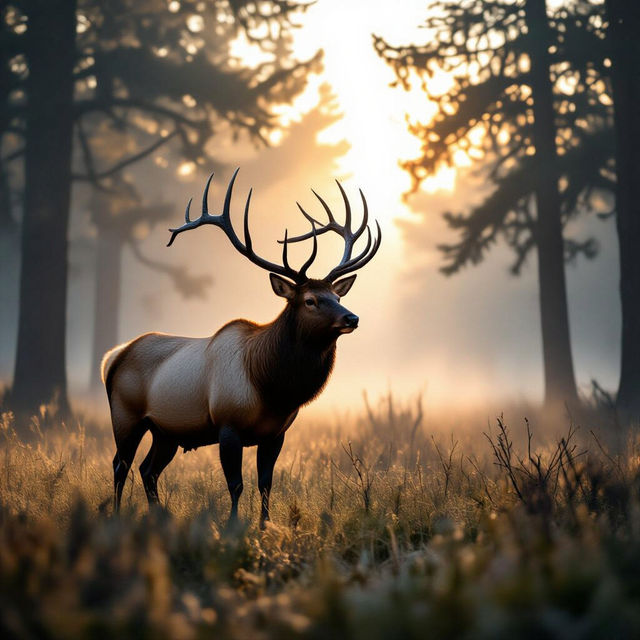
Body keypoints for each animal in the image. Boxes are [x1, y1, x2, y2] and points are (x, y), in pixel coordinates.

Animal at [102, 169, 381, 526]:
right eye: (310, 300)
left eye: (337, 295)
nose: (352, 317)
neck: (271, 387)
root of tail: (114, 356)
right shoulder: (228, 425)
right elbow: (236, 484)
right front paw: (233, 526)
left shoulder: (276, 433)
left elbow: (265, 483)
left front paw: (264, 526)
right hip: (125, 415)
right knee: (120, 465)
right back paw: (116, 516)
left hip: (166, 431)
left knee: (147, 469)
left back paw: (159, 517)